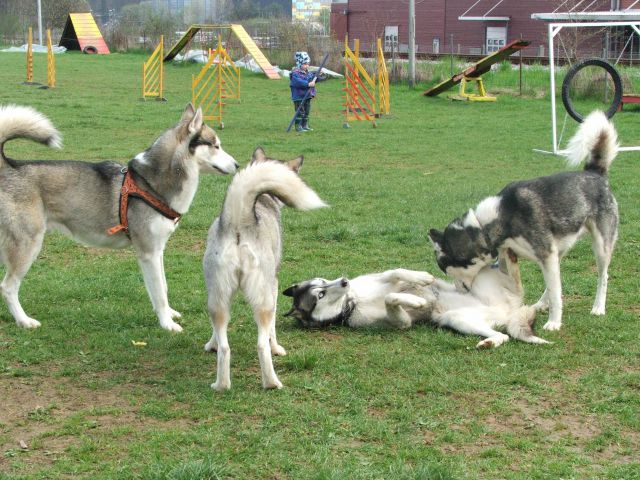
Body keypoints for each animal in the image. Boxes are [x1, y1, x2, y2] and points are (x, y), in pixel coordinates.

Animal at [0, 103, 238, 332]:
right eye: (215, 145)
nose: (237, 165)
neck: (149, 184)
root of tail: (8, 165)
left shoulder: (158, 249)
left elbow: (163, 285)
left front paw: (169, 314)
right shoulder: (148, 253)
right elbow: (159, 293)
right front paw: (167, 324)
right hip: (28, 244)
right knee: (8, 286)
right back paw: (24, 321)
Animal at [204, 147, 328, 390]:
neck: (264, 199)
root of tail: (240, 221)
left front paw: (210, 344)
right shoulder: (274, 285)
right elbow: (272, 330)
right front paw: (277, 348)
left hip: (218, 298)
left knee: (225, 347)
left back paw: (221, 385)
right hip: (264, 301)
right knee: (261, 344)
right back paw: (271, 382)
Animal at [282, 255, 548, 348]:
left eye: (324, 281)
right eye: (320, 295)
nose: (345, 281)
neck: (353, 301)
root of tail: (509, 312)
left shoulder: (385, 278)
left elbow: (397, 272)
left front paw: (422, 279)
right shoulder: (402, 323)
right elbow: (391, 299)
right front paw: (416, 302)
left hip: (480, 278)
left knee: (514, 275)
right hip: (457, 319)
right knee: (503, 335)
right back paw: (490, 343)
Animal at [428, 110, 616, 332]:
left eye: (446, 270)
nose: (459, 291)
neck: (490, 224)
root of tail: (593, 172)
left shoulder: (546, 256)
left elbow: (555, 293)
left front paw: (554, 322)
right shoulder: (523, 256)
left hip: (600, 247)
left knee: (602, 276)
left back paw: (598, 307)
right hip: (559, 251)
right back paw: (541, 304)